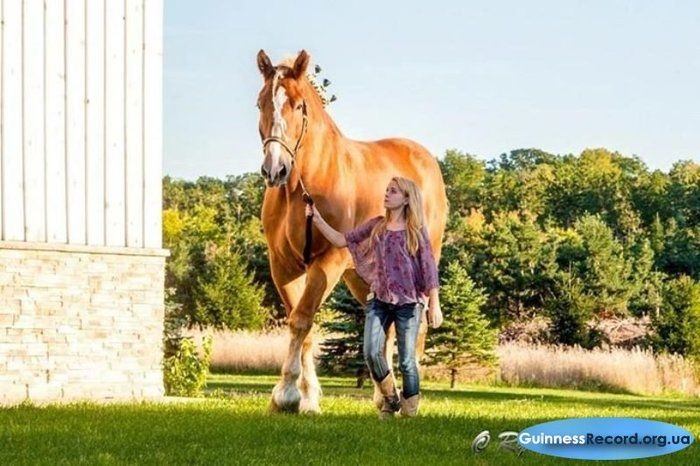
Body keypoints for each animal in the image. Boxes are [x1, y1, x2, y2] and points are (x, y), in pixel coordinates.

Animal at [258, 49, 448, 412]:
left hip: (419, 261)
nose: (275, 169)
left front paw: (287, 393)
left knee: (415, 327)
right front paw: (306, 398)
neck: (303, 186)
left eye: (298, 105)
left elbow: (302, 319)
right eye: (260, 103)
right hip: (364, 277)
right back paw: (383, 396)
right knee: (386, 327)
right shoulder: (283, 265)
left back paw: (409, 398)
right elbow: (303, 326)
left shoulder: (328, 261)